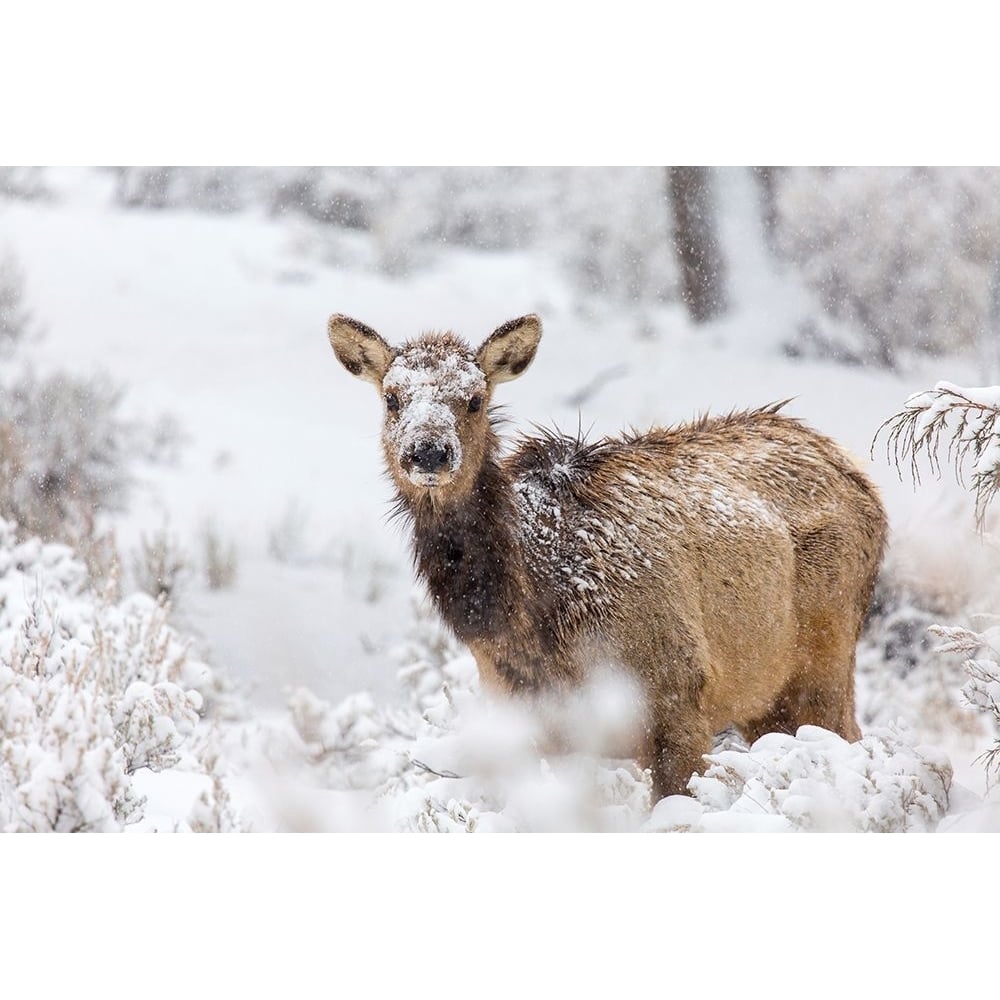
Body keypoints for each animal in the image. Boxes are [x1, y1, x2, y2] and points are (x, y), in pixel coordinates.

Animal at [330, 312, 892, 796]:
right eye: (392, 398)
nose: (428, 453)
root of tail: (858, 474)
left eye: (474, 399)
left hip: (826, 658)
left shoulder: (680, 698)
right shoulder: (534, 726)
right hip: (764, 696)